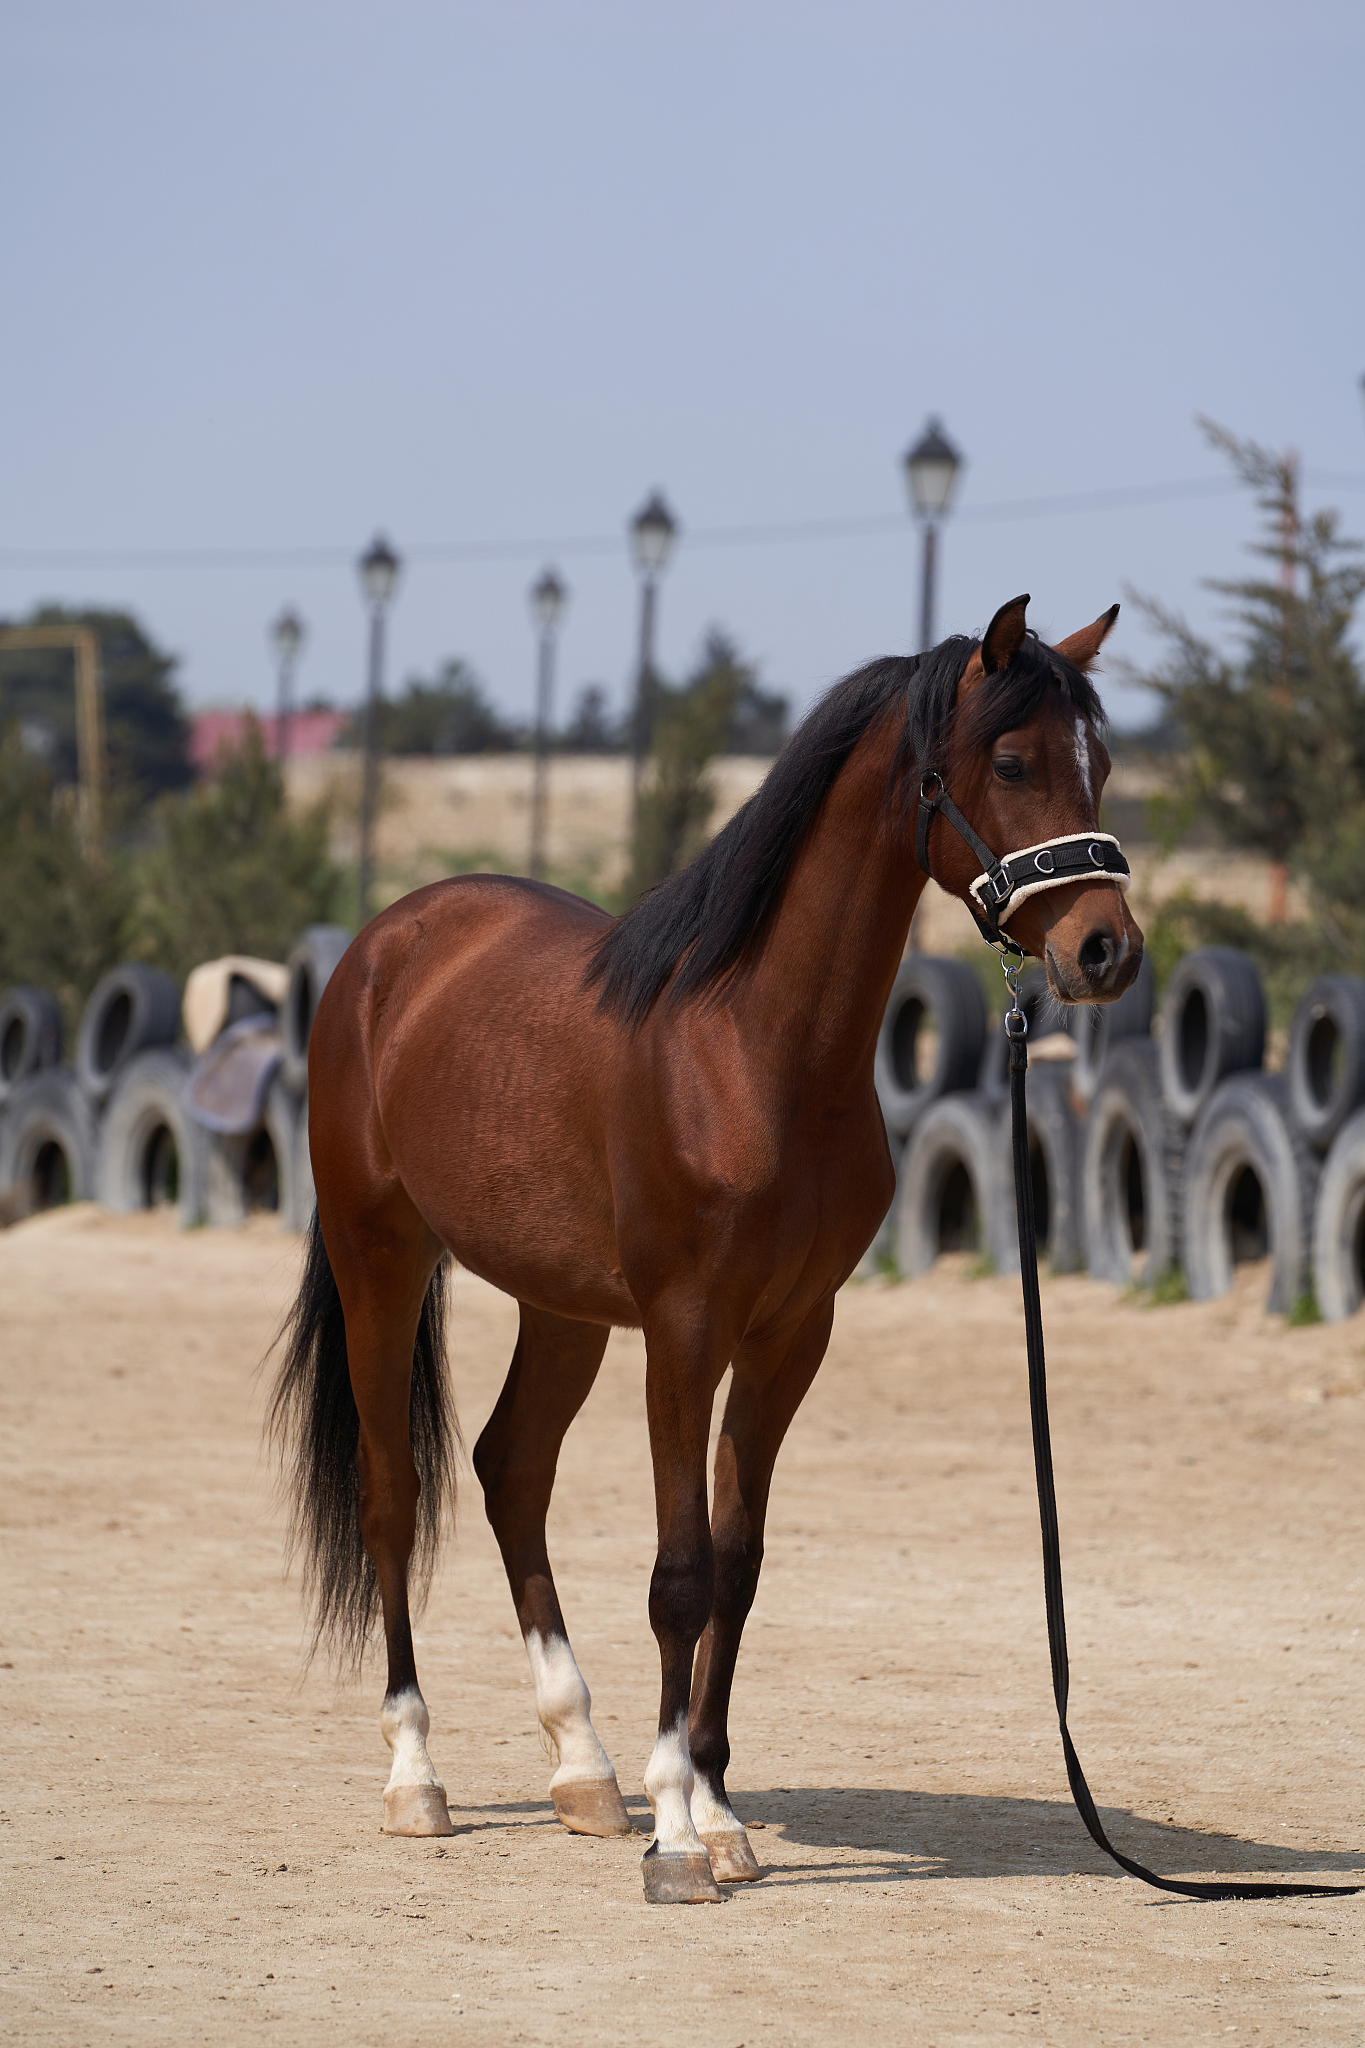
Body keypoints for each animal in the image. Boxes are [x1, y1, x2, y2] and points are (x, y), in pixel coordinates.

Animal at [271, 592, 1144, 1905]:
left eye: (1101, 760)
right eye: (1011, 760)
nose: (1107, 950)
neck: (754, 1049)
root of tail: (387, 943)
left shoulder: (790, 1333)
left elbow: (736, 1558)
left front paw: (717, 1807)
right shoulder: (684, 1329)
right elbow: (678, 1568)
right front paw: (679, 1836)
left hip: (563, 1305)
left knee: (510, 1468)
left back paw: (583, 1768)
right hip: (386, 1259)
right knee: (393, 1494)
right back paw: (417, 1779)